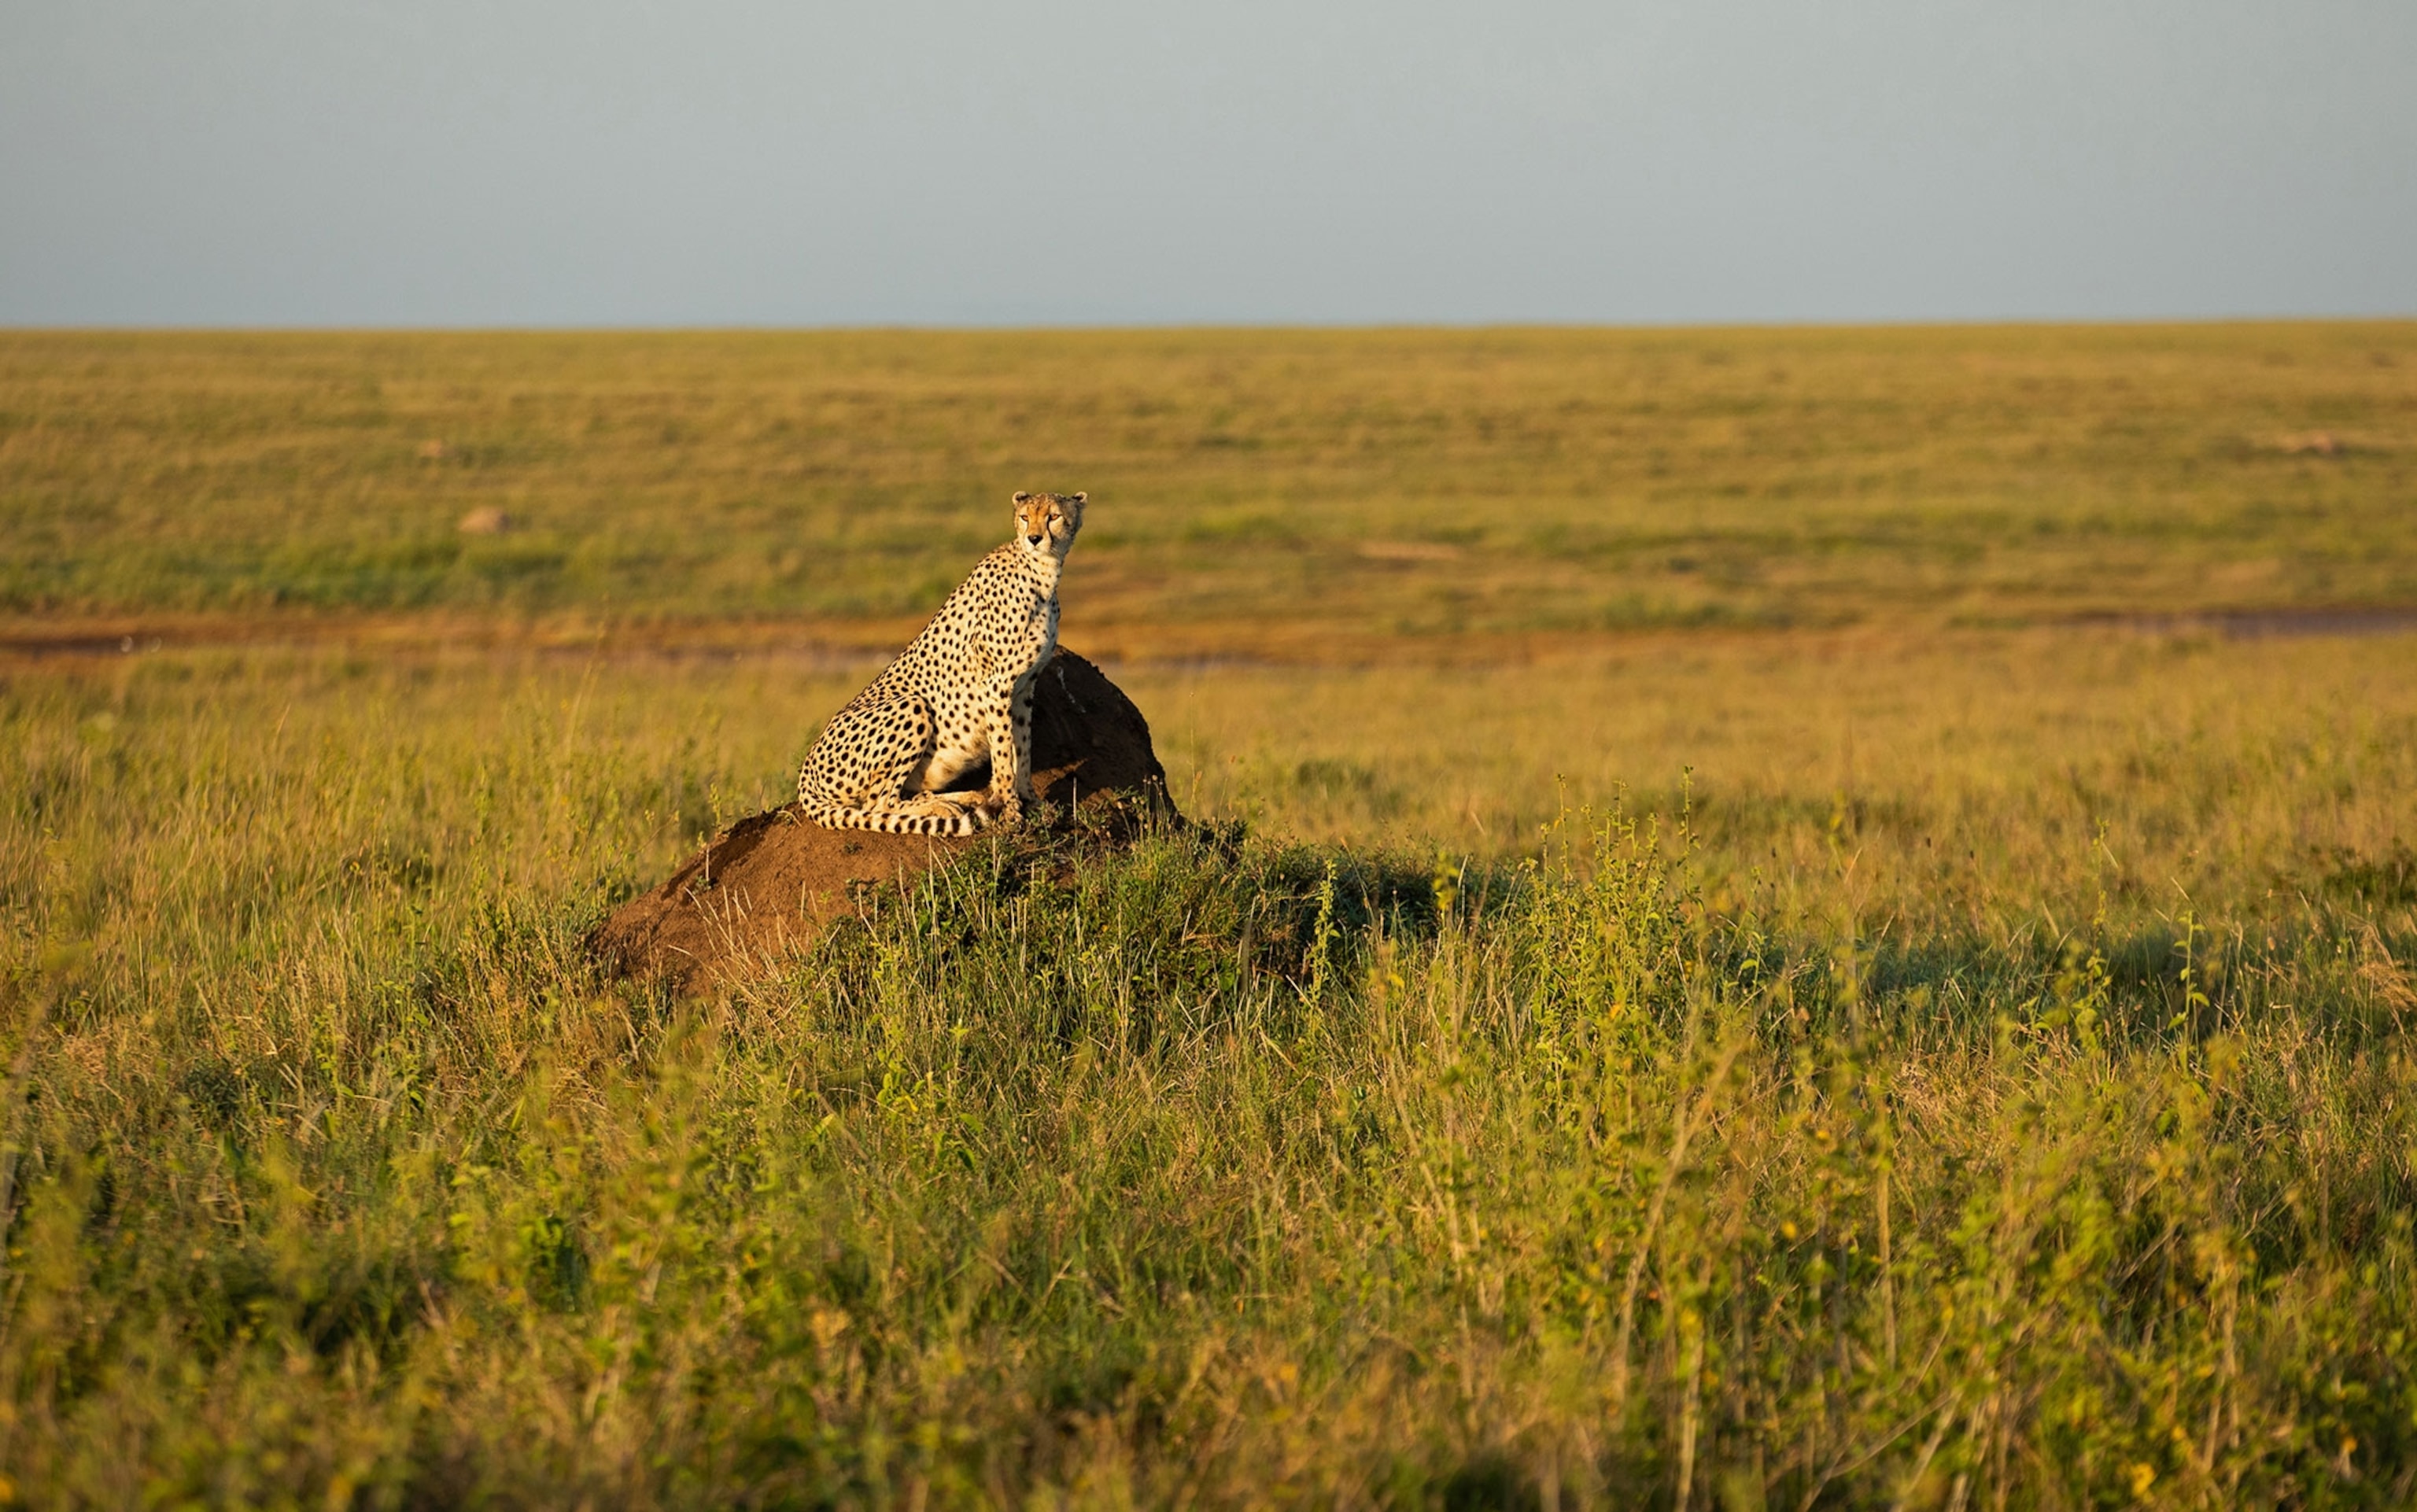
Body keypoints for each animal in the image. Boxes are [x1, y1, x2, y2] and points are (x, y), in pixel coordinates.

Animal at [797, 490, 1086, 836]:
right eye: (1025, 517)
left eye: (1053, 516)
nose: (1034, 538)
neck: (1042, 575)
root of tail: (805, 774)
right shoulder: (996, 685)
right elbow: (1004, 752)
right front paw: (1011, 810)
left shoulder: (1025, 686)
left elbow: (1023, 747)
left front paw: (1030, 800)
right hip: (911, 704)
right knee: (878, 804)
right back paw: (942, 808)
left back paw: (965, 798)